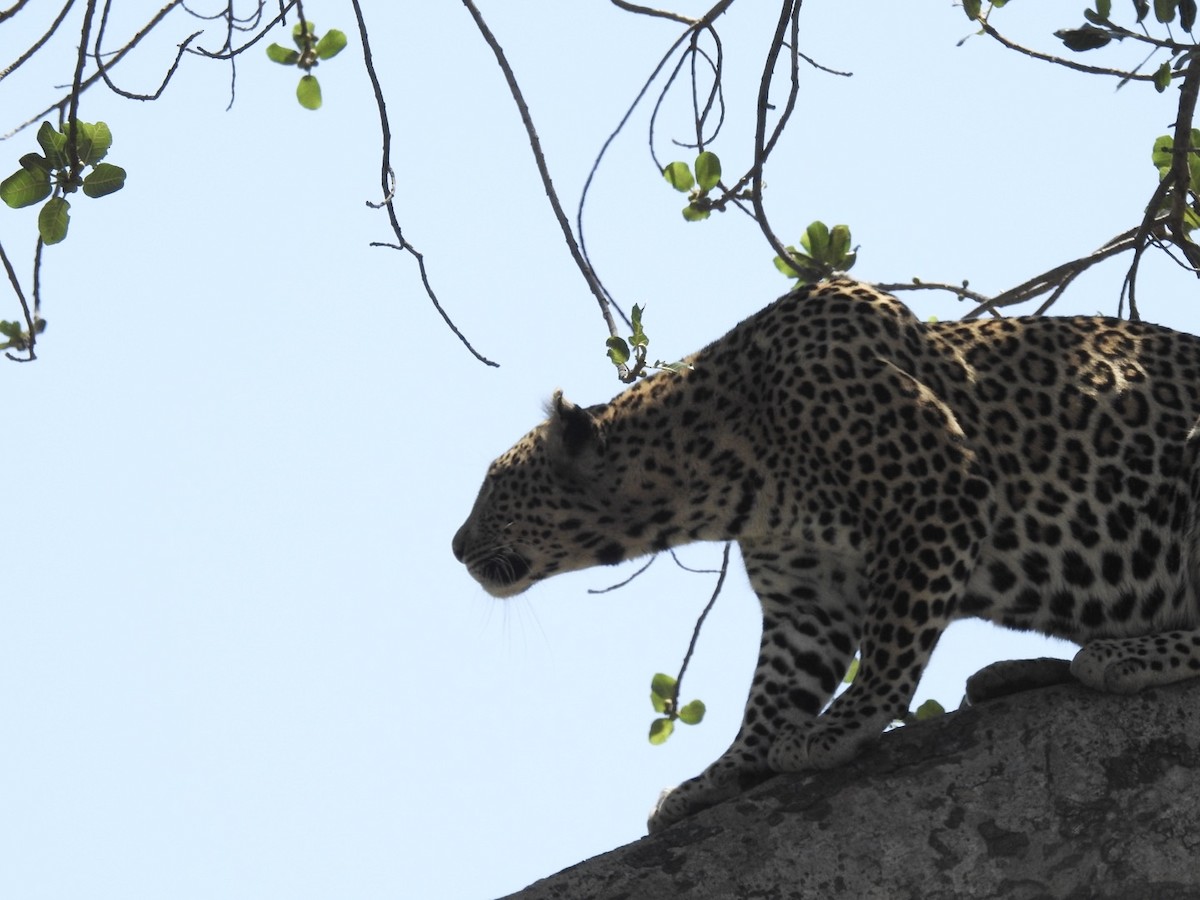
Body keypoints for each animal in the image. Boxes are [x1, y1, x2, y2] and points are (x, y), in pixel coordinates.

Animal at [451, 277, 1200, 833]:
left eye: (492, 487)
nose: (455, 548)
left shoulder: (936, 493)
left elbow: (894, 638)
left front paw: (846, 720)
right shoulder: (803, 598)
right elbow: (772, 693)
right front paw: (719, 775)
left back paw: (1123, 656)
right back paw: (1019, 672)